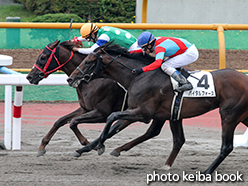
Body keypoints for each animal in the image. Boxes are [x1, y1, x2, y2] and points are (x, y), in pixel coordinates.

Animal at [68, 43, 248, 174]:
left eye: (89, 61)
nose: (70, 79)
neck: (140, 76)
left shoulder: (143, 113)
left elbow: (112, 117)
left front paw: (100, 147)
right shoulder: (136, 110)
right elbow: (114, 127)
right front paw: (84, 149)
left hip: (229, 115)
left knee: (226, 146)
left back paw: (207, 171)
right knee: (178, 139)